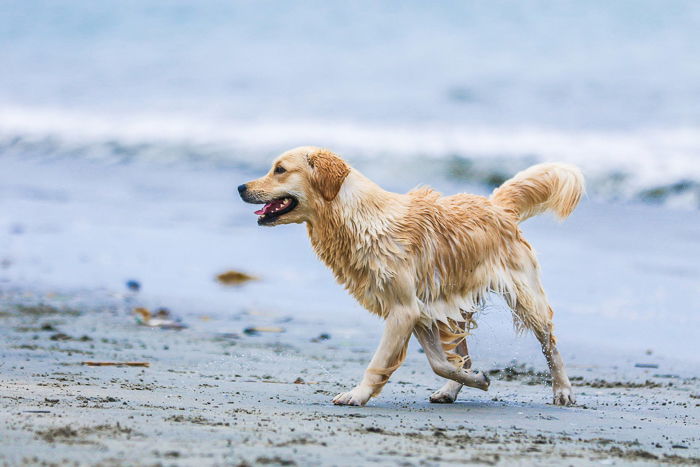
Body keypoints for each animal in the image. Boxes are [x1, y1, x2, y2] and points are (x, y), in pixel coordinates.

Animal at [241, 146, 584, 406]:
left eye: (280, 169)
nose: (241, 188)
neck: (358, 218)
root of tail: (496, 205)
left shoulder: (404, 310)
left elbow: (380, 363)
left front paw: (357, 395)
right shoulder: (420, 311)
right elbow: (440, 363)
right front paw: (477, 380)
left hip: (525, 296)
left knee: (550, 343)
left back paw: (563, 391)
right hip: (451, 306)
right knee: (461, 354)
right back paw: (453, 389)